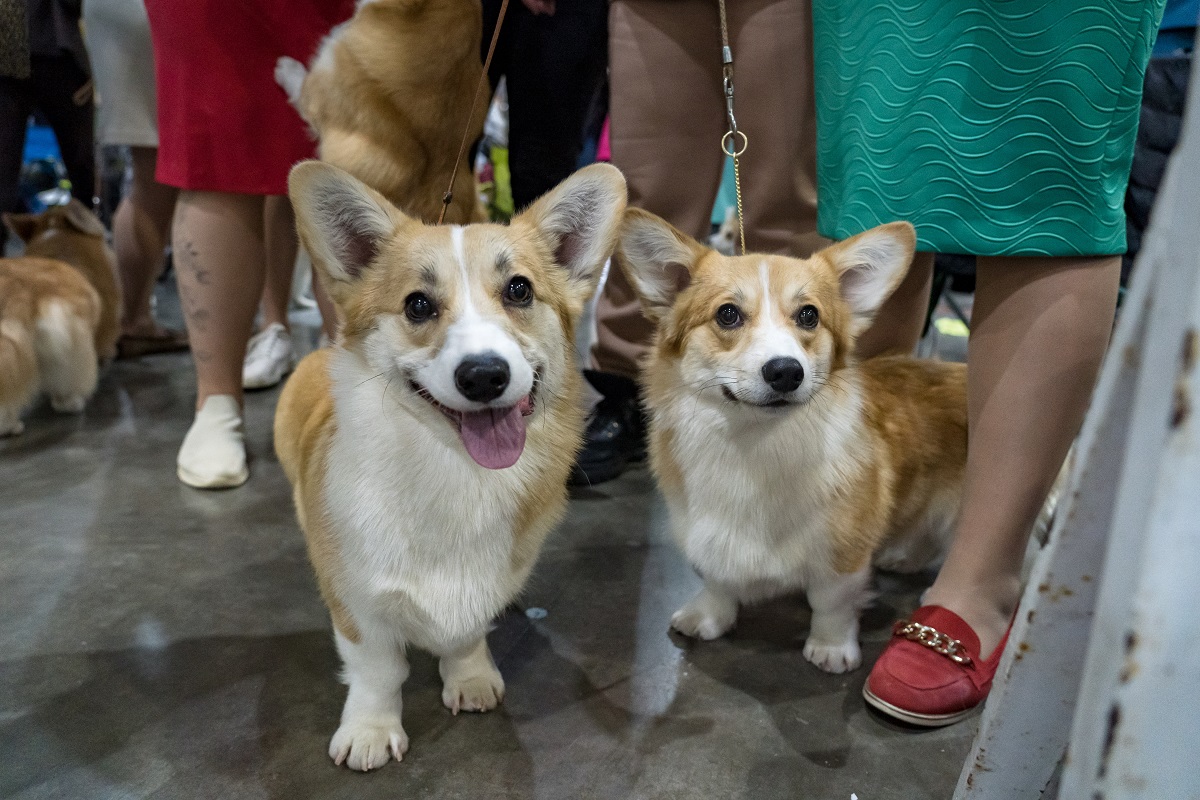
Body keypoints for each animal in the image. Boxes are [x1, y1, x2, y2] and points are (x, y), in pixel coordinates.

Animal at [273, 160, 628, 767]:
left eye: (519, 290)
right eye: (417, 304)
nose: (484, 375)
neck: (455, 470)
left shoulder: (487, 585)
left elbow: (465, 637)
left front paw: (471, 680)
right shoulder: (357, 603)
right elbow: (377, 670)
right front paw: (369, 730)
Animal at [614, 211, 969, 676]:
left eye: (809, 316)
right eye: (728, 314)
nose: (786, 372)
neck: (753, 444)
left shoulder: (843, 554)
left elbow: (831, 604)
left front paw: (832, 648)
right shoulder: (705, 532)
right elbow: (717, 581)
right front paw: (707, 617)